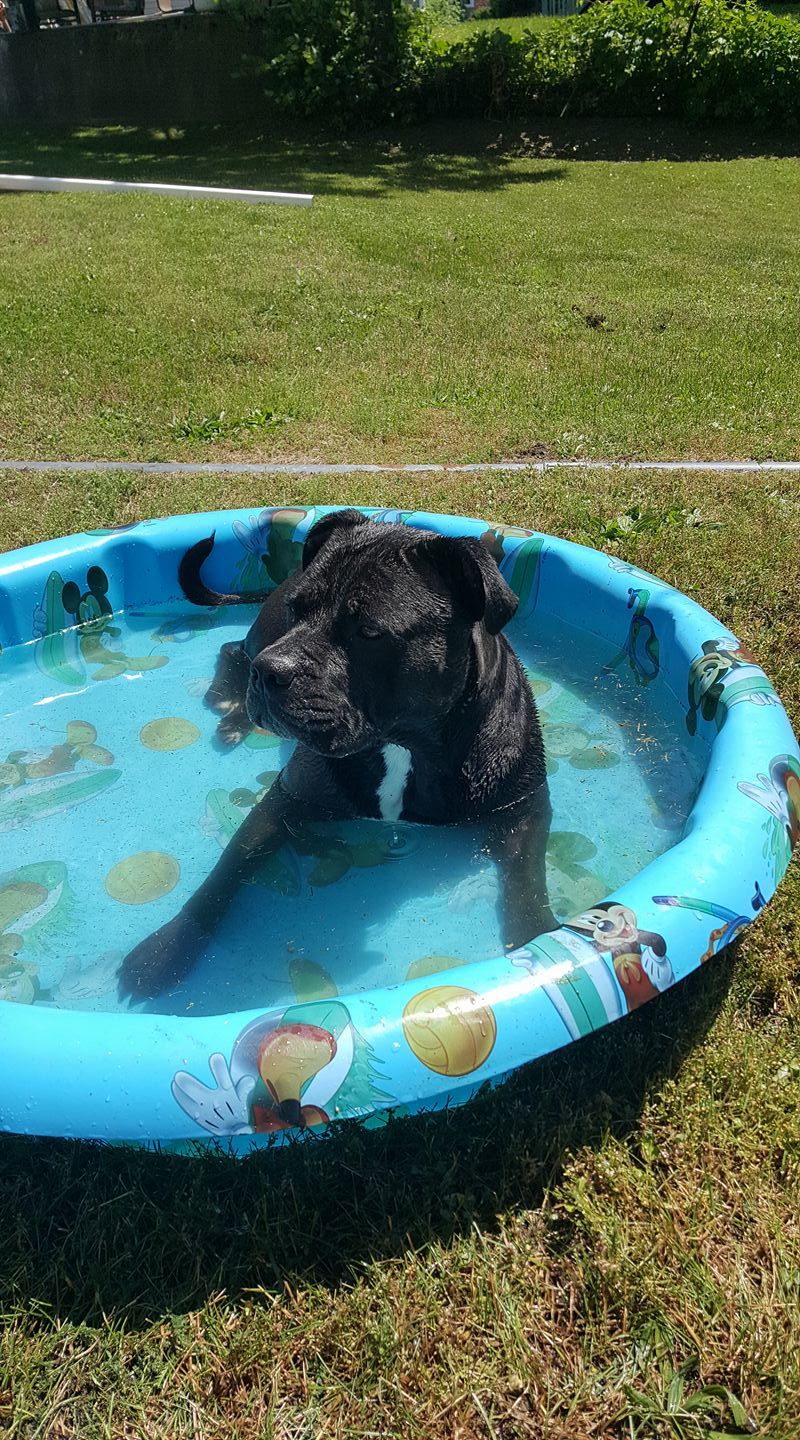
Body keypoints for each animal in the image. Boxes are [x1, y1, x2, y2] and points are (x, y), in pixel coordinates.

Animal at [120, 515, 555, 1002]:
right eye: (298, 610)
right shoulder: (284, 803)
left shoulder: (524, 808)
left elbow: (528, 876)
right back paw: (229, 706)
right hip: (261, 635)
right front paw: (168, 947)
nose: (270, 671)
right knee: (233, 648)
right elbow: (226, 872)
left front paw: (541, 938)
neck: (402, 746)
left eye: (368, 631)